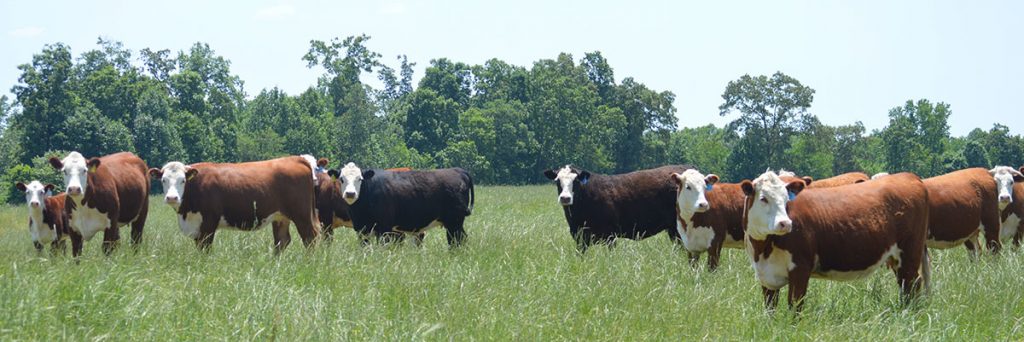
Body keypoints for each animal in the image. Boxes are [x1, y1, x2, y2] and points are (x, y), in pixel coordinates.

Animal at [148, 156, 319, 252]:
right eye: (163, 180)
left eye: (183, 180)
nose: (172, 197)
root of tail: (294, 158)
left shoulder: (209, 223)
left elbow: (205, 248)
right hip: (280, 216)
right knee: (282, 241)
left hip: (302, 215)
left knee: (310, 238)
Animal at [339, 162, 475, 248]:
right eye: (341, 179)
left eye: (360, 179)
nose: (350, 193)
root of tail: (458, 170)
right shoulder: (361, 229)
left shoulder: (384, 228)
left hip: (454, 222)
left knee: (457, 240)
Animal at [540, 163, 692, 252]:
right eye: (557, 181)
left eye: (576, 181)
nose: (565, 198)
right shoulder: (579, 236)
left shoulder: (610, 235)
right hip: (673, 229)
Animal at [741, 169, 933, 309]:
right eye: (763, 198)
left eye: (786, 198)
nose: (785, 223)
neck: (763, 250)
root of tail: (909, 176)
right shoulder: (766, 276)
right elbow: (770, 310)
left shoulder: (800, 269)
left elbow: (795, 308)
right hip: (896, 258)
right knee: (905, 285)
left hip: (909, 252)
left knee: (912, 284)